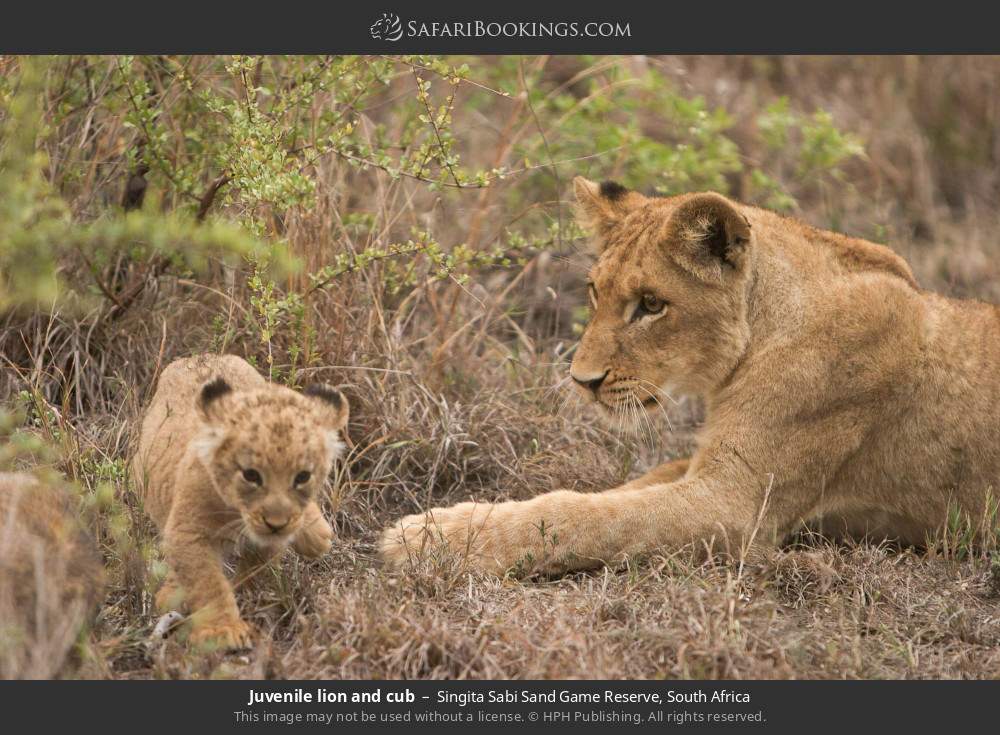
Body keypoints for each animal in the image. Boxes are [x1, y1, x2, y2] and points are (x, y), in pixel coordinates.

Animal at [132, 355, 349, 649]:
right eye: (251, 475)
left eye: (303, 476)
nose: (276, 523)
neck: (237, 511)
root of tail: (201, 355)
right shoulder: (188, 532)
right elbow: (207, 581)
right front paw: (223, 630)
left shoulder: (270, 538)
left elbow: (255, 568)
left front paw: (247, 596)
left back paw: (317, 536)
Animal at [380, 176, 1000, 577]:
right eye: (594, 291)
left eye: (652, 305)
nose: (582, 381)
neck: (763, 326)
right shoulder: (703, 466)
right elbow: (608, 496)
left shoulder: (732, 505)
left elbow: (587, 516)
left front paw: (427, 538)